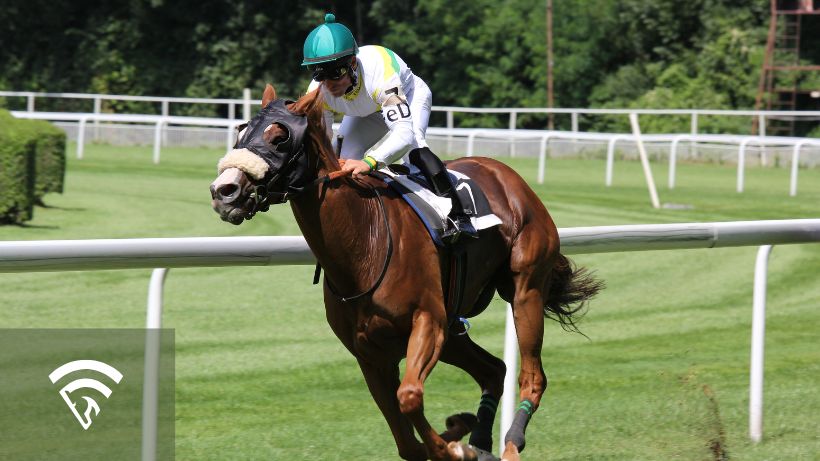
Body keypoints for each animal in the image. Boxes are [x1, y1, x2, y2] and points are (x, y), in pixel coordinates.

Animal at [208, 84, 600, 458]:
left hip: (524, 290)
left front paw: (452, 446)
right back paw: (480, 441)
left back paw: (509, 444)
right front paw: (457, 438)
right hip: (453, 330)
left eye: (280, 137)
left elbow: (410, 396)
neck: (363, 244)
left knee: (532, 376)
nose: (223, 191)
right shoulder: (370, 354)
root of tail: (508, 176)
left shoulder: (427, 322)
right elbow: (407, 442)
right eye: (242, 131)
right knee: (494, 370)